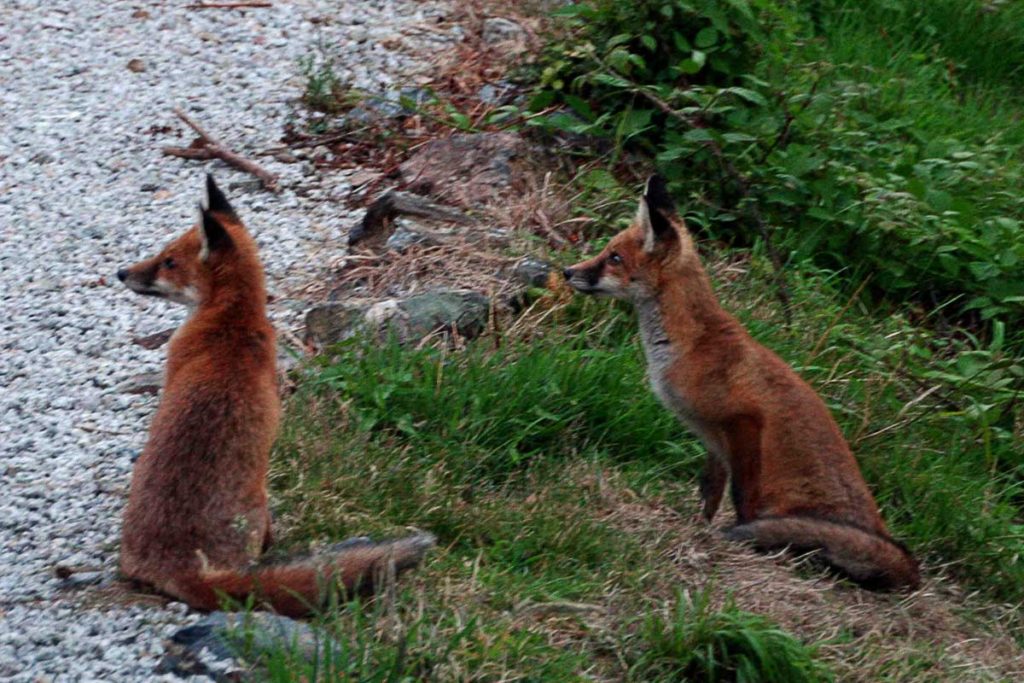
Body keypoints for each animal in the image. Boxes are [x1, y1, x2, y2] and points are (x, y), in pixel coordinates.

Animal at [563, 175, 920, 589]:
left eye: (614, 258)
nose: (567, 271)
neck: (688, 346)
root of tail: (906, 565)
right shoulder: (714, 441)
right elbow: (710, 492)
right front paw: (699, 526)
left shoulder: (745, 420)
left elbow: (741, 498)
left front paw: (734, 538)